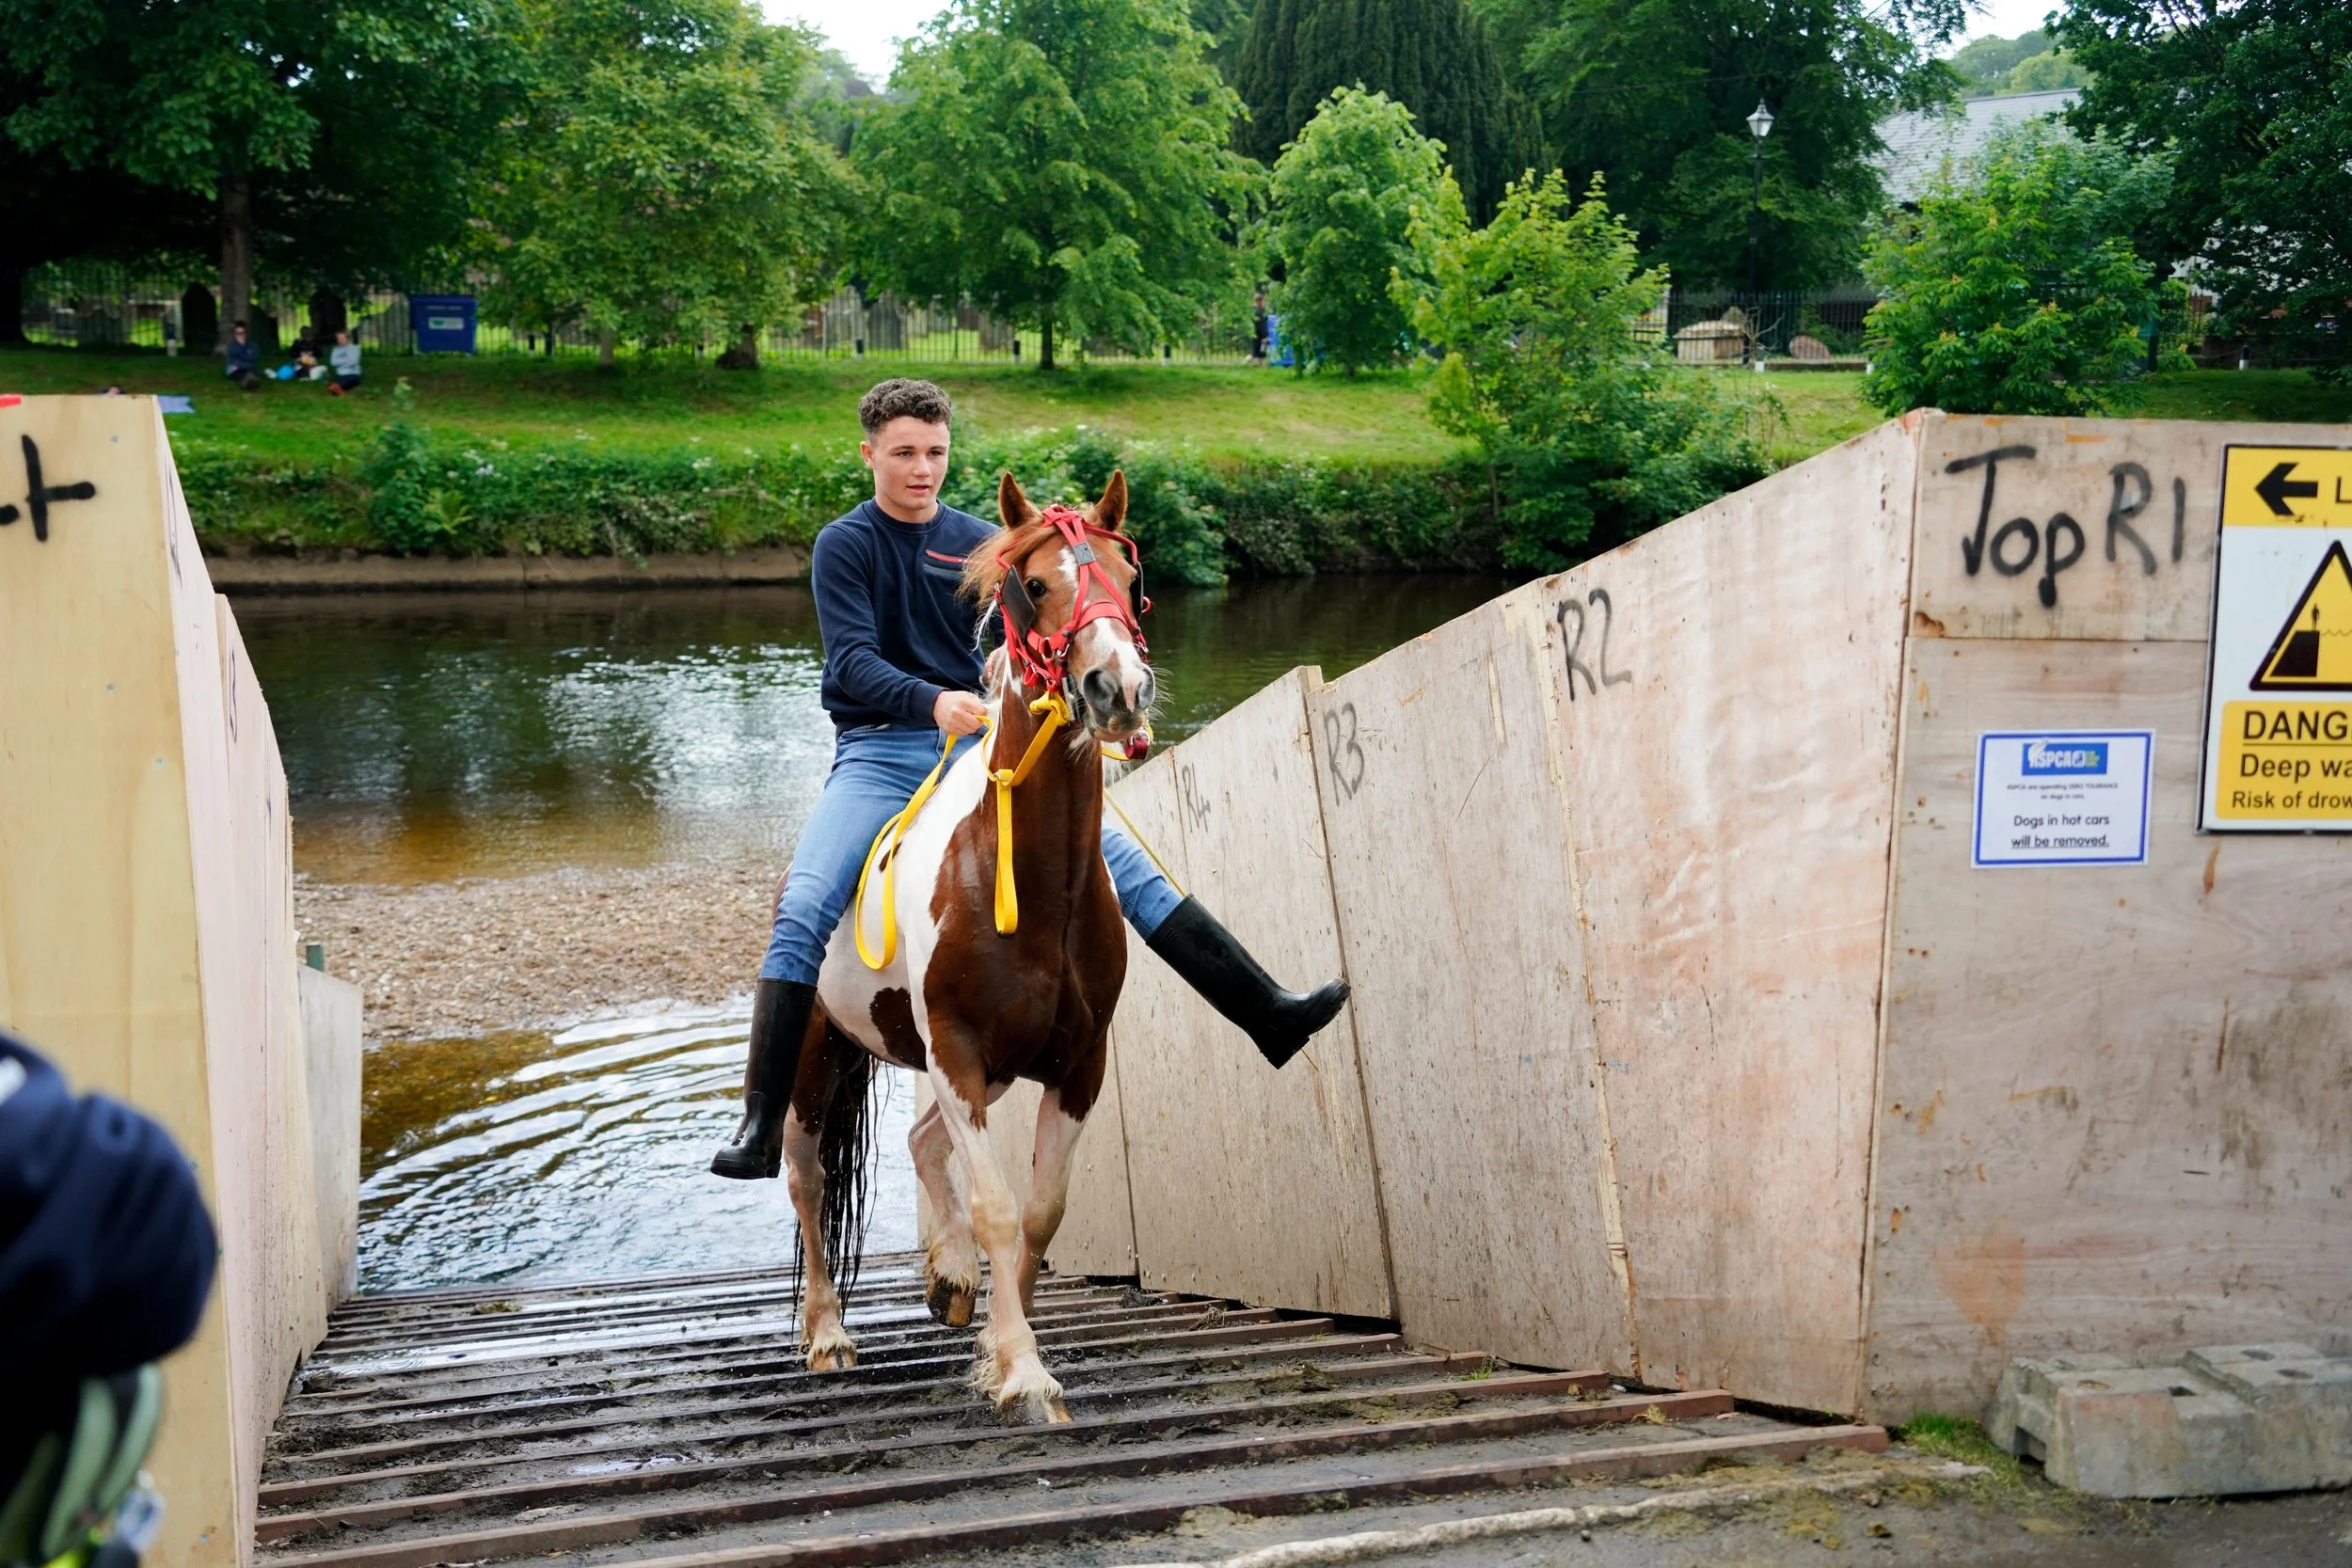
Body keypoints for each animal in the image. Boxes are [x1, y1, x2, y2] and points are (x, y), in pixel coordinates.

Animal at [777, 468, 1155, 1424]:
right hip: (814, 1058)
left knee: (920, 1146)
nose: (1118, 688)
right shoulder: (956, 1050)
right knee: (807, 1180)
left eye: (1130, 581)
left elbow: (1042, 1212)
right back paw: (827, 1333)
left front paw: (996, 1338)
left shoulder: (1075, 1061)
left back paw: (948, 1278)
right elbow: (995, 1207)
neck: (1031, 881)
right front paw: (1023, 1372)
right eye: (1035, 583)